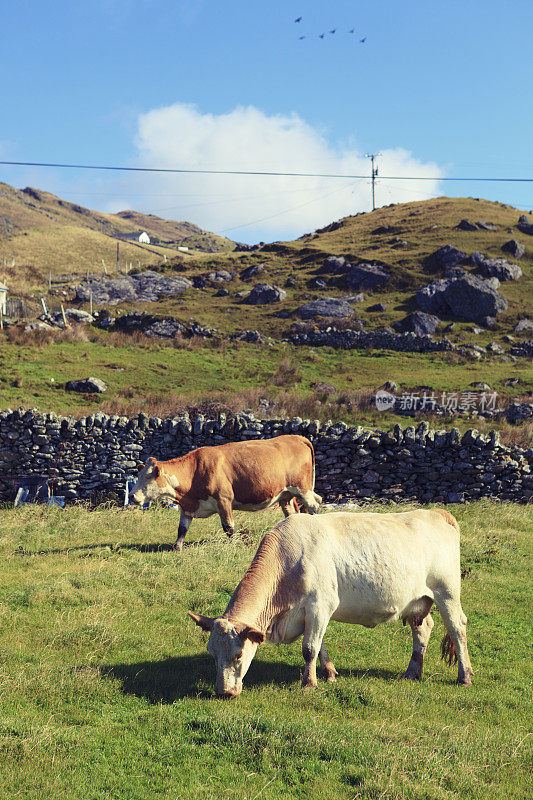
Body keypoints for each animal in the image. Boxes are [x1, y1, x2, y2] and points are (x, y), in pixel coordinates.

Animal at [130, 438, 320, 552]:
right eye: (138, 476)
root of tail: (296, 437)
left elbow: (228, 527)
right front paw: (177, 548)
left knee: (315, 505)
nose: (131, 496)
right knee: (292, 513)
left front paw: (233, 545)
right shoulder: (188, 505)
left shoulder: (224, 500)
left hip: (303, 489)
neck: (195, 471)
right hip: (286, 495)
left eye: (148, 477)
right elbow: (182, 528)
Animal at [189, 510, 472, 696]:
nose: (223, 692)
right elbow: (319, 644)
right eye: (211, 653)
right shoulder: (314, 612)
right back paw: (412, 671)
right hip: (418, 602)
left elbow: (309, 648)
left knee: (457, 627)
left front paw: (309, 683)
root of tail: (437, 512)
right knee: (423, 628)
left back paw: (465, 676)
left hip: (447, 592)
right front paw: (329, 673)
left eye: (238, 655)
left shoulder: (320, 604)